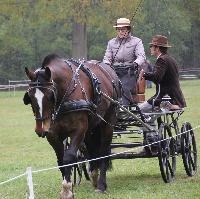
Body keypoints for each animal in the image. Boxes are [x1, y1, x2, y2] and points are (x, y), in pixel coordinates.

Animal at [22, 53, 121, 198]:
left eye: (50, 95)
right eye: (29, 96)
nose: (41, 129)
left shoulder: (79, 129)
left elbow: (68, 157)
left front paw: (66, 190)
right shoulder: (53, 134)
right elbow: (61, 160)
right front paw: (67, 186)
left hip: (108, 122)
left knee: (104, 151)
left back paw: (101, 185)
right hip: (91, 127)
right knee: (90, 148)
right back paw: (94, 175)